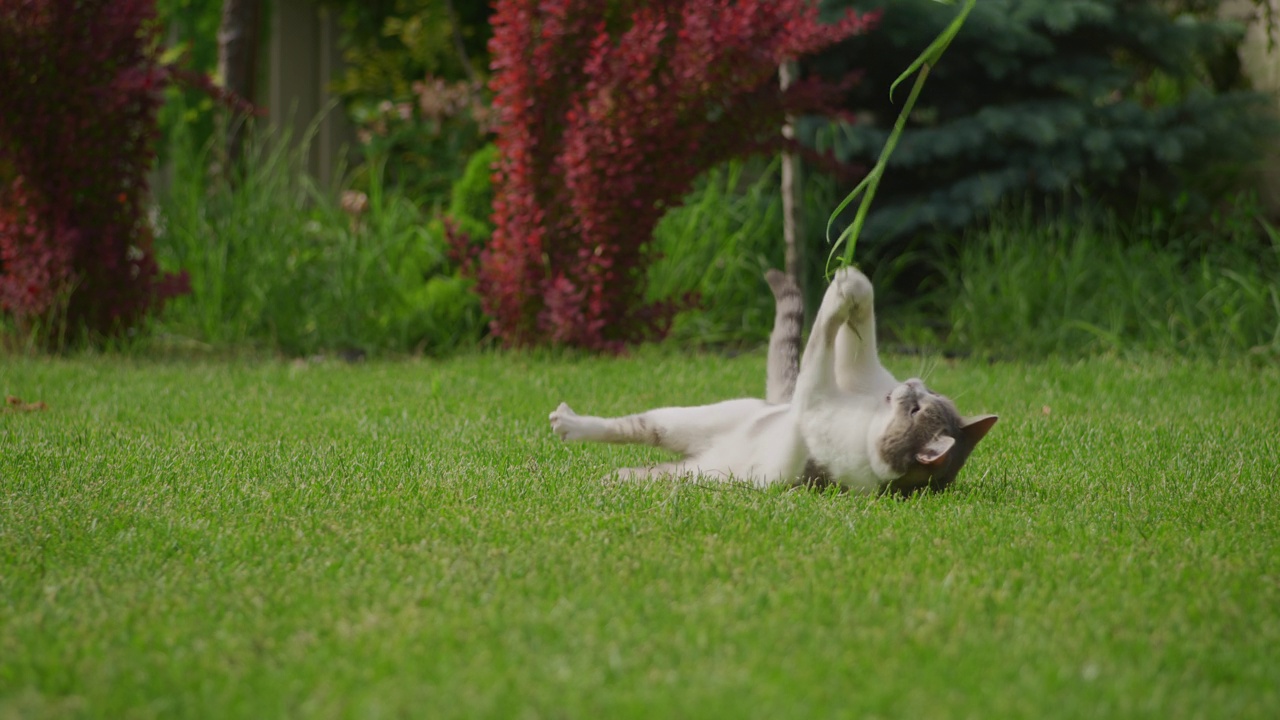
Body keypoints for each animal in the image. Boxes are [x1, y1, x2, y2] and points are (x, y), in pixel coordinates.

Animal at [545, 263, 993, 491]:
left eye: (916, 410)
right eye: (925, 393)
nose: (910, 385)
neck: (870, 416)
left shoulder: (815, 397)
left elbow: (819, 339)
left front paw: (839, 290)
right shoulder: (859, 373)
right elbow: (859, 335)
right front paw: (853, 281)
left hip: (692, 470)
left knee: (643, 460)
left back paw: (591, 456)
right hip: (687, 420)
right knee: (634, 428)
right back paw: (579, 432)